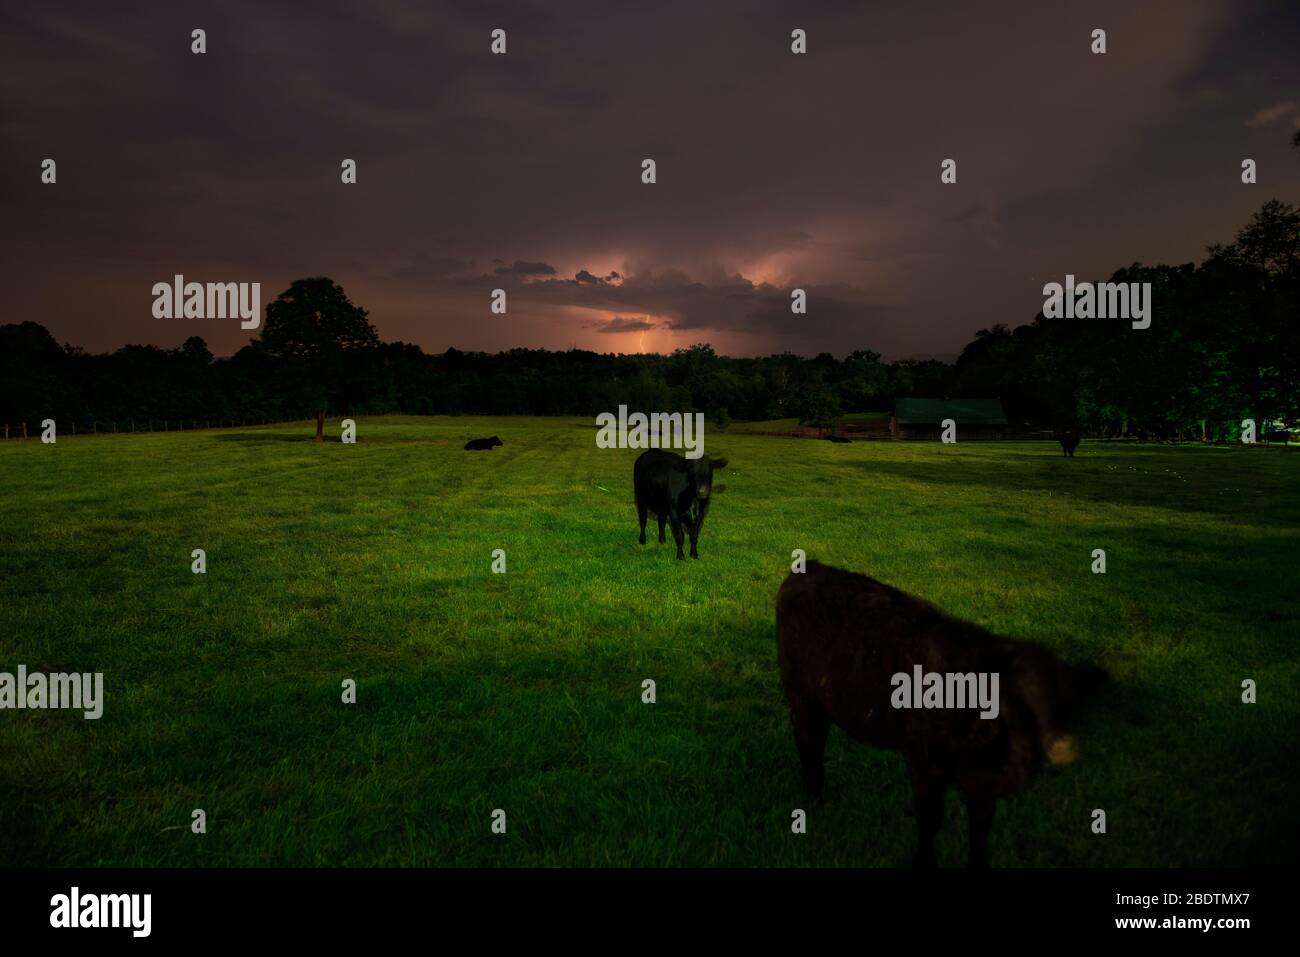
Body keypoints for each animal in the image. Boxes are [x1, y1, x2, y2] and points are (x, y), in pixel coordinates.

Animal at [774, 561, 1102, 868]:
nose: (1025, 765)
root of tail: (810, 566)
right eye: (1008, 702)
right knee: (808, 741)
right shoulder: (922, 758)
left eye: (1062, 709)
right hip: (799, 692)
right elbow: (929, 817)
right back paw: (814, 799)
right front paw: (923, 862)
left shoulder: (981, 785)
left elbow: (982, 825)